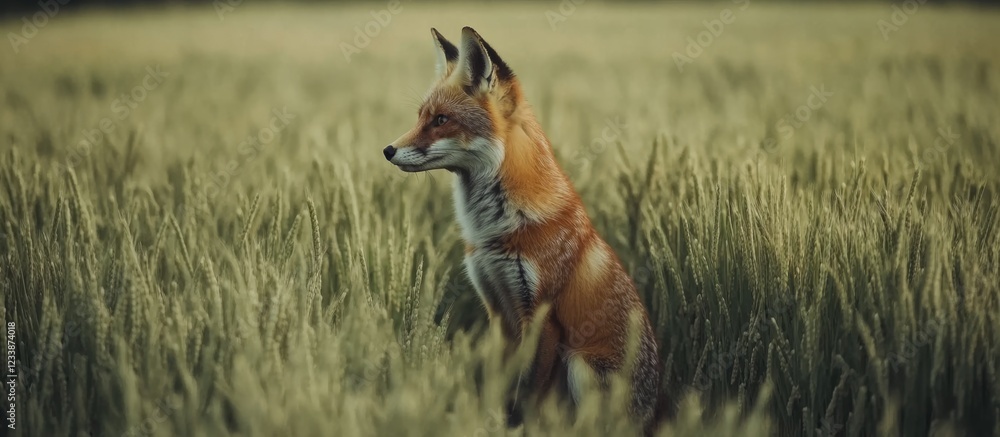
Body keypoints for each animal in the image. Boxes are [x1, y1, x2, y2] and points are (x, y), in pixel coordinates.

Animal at [383, 27, 662, 432]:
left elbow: (531, 394)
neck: (494, 229)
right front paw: (493, 421)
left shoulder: (542, 316)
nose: (388, 150)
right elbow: (500, 384)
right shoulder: (497, 309)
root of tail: (653, 414)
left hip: (579, 364)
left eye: (441, 120)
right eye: (421, 117)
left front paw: (521, 427)